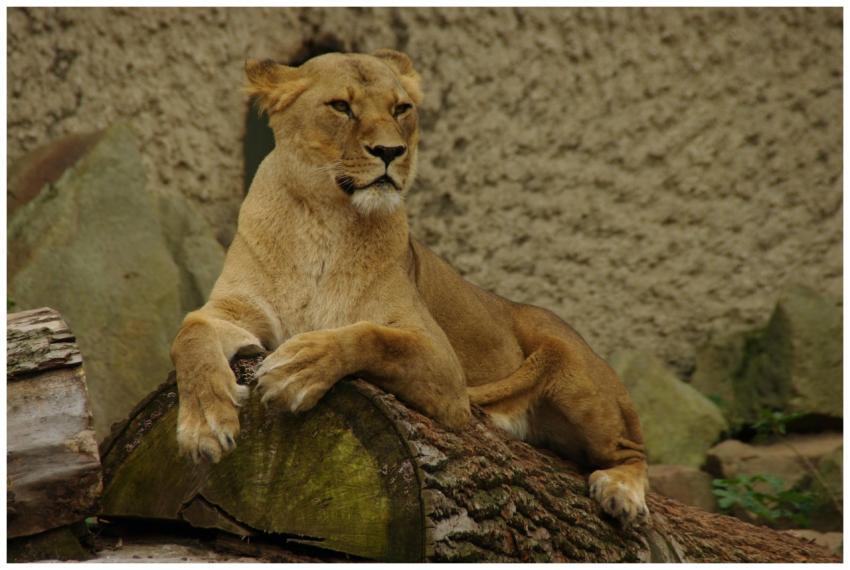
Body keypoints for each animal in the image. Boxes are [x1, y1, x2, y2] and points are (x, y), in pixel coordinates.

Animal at [170, 49, 650, 525]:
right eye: (341, 106)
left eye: (401, 109)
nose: (390, 151)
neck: (324, 222)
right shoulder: (234, 309)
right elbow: (190, 333)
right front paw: (204, 424)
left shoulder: (444, 366)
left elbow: (371, 336)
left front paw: (299, 367)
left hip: (572, 370)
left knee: (633, 449)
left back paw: (621, 491)